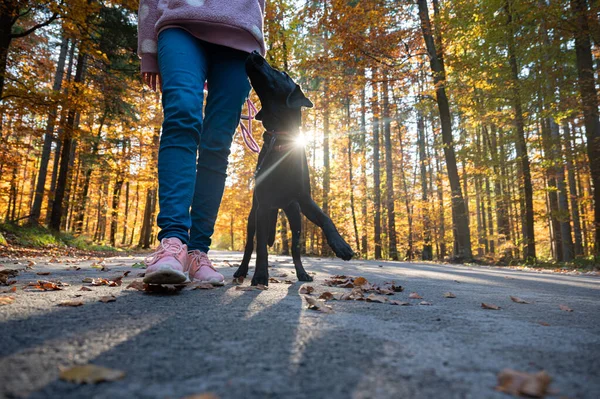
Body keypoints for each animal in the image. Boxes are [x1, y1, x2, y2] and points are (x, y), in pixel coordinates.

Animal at [233, 52, 356, 288]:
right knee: (250, 245)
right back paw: (242, 271)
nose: (254, 52)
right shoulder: (263, 206)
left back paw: (302, 273)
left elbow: (326, 218)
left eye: (283, 74)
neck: (281, 139)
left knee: (295, 248)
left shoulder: (304, 199)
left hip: (295, 215)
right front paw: (260, 275)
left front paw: (341, 245)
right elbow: (261, 248)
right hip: (254, 216)